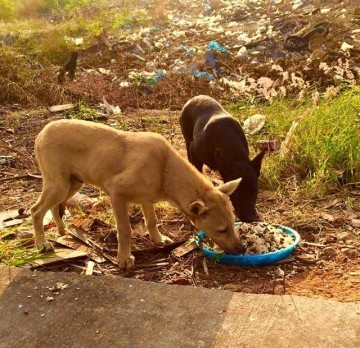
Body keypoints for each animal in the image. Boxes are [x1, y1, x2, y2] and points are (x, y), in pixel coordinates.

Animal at [31, 119, 242, 270]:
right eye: (222, 230)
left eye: (233, 223)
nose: (242, 249)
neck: (165, 169)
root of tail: (42, 132)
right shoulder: (117, 194)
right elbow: (125, 230)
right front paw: (124, 258)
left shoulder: (147, 200)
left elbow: (152, 221)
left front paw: (158, 240)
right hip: (58, 185)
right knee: (36, 211)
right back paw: (42, 244)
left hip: (72, 183)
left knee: (54, 207)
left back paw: (62, 231)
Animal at [180, 94, 264, 223]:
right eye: (236, 194)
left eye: (255, 190)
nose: (250, 218)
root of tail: (194, 98)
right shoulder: (194, 151)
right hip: (188, 141)